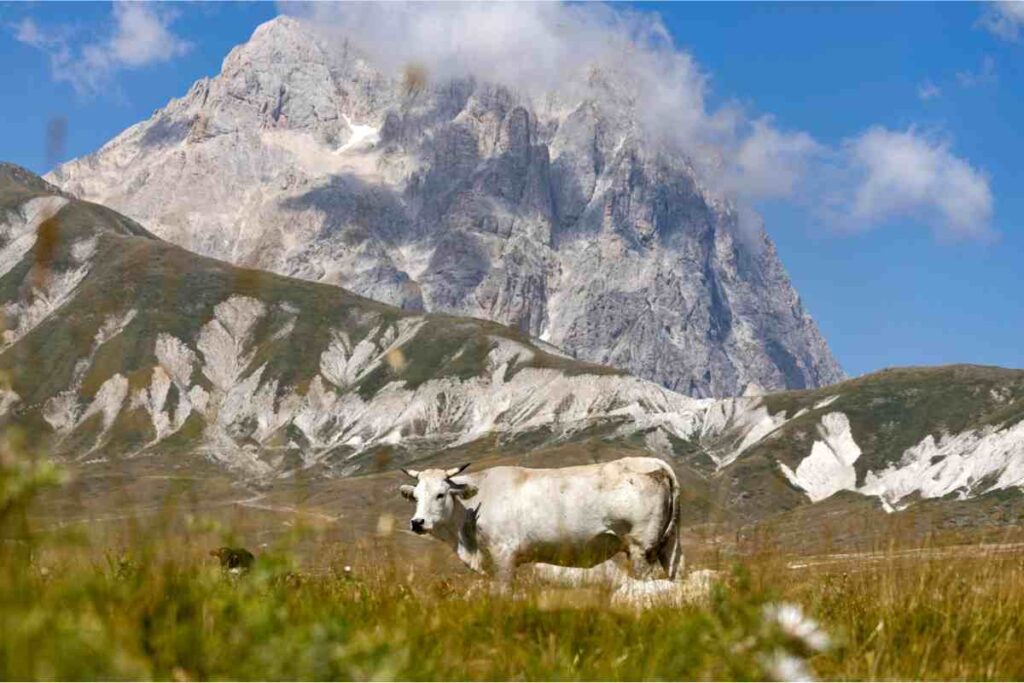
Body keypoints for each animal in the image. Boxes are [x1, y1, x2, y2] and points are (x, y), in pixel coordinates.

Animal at [398, 457, 682, 584]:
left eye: (440, 494)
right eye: (415, 496)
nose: (417, 522)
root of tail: (653, 461)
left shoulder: (504, 556)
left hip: (641, 549)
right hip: (669, 546)